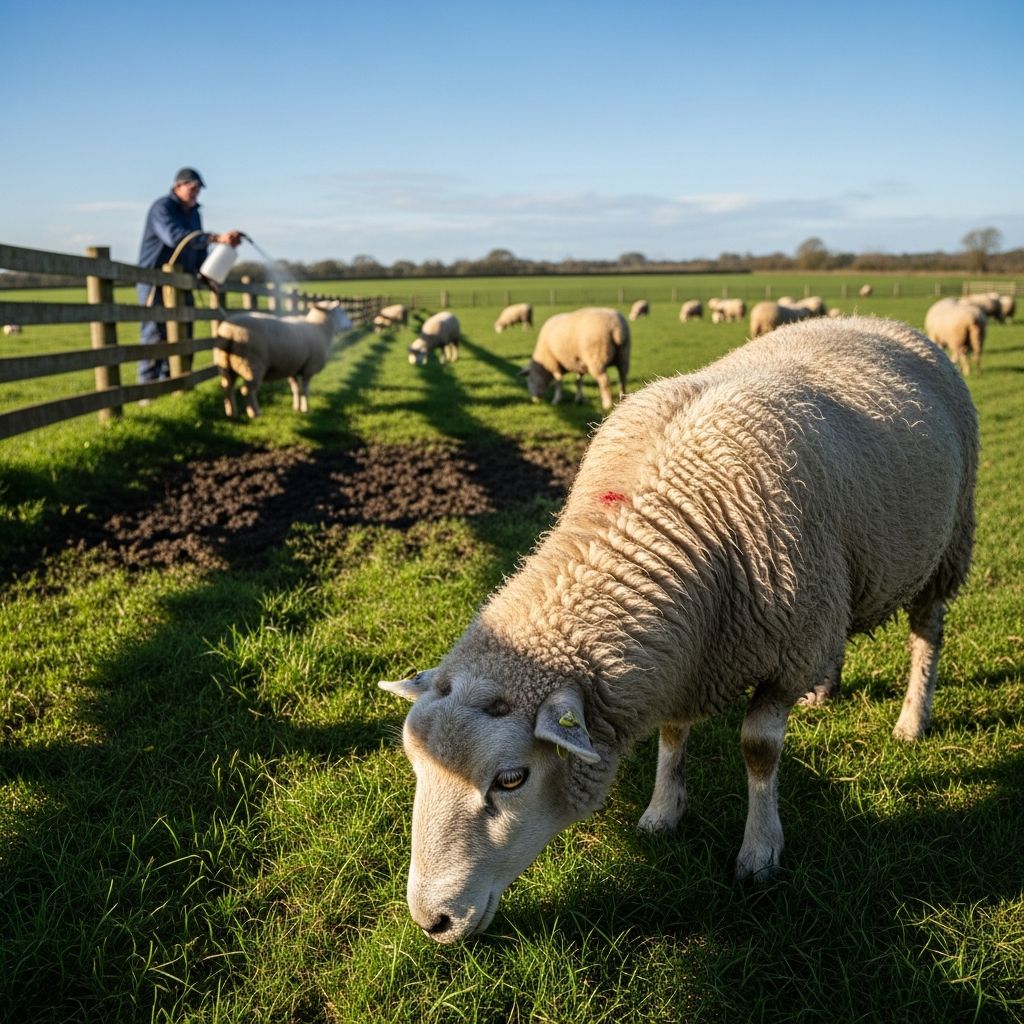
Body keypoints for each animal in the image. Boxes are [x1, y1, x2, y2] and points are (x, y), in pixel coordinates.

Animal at [213, 301, 350, 418]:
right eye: (341, 311)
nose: (350, 324)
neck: (320, 328)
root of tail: (230, 331)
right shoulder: (308, 369)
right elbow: (305, 390)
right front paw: (306, 408)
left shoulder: (293, 368)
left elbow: (296, 389)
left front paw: (296, 407)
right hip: (252, 364)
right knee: (247, 391)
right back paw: (255, 413)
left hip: (225, 363)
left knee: (227, 387)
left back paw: (231, 413)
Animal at [381, 315, 977, 943]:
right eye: (415, 766)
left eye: (512, 779)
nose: (432, 920)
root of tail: (872, 321)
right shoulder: (692, 655)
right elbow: (672, 734)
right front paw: (662, 812)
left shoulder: (786, 649)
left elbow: (758, 749)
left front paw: (759, 851)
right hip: (836, 586)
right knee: (837, 636)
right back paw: (824, 689)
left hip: (946, 545)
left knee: (927, 634)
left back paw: (912, 719)